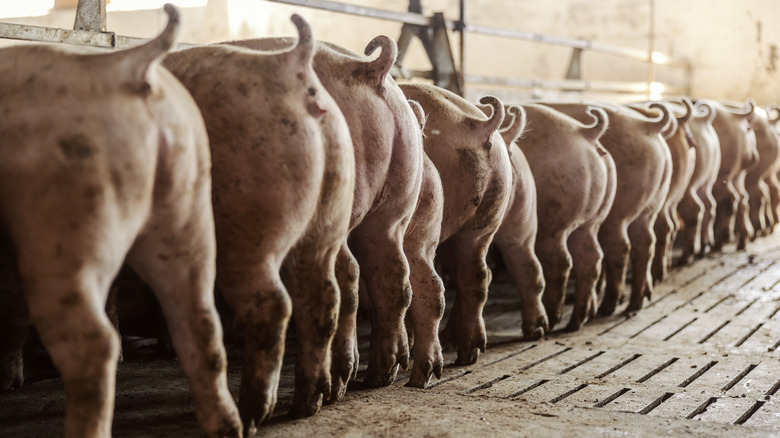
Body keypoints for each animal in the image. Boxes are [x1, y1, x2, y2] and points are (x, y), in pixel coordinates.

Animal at [0, 5, 242, 438]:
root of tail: (130, 66)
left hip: (68, 219)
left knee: (94, 344)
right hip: (189, 202)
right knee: (202, 322)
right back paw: (229, 427)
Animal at [163, 15, 355, 430]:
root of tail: (292, 66)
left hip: (248, 229)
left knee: (273, 305)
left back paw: (253, 415)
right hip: (327, 220)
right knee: (324, 294)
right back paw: (308, 404)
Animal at [505, 104, 616, 331]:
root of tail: (587, 133)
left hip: (553, 224)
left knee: (558, 261)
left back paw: (552, 322)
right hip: (592, 221)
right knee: (591, 257)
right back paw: (577, 321)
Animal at [676, 100, 721, 264]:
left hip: (686, 186)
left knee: (693, 209)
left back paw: (685, 258)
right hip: (707, 179)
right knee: (709, 204)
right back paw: (704, 248)